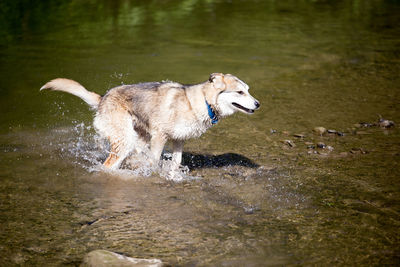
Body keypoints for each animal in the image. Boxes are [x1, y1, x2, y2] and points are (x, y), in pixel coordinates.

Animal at [39, 72, 260, 171]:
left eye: (248, 90)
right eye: (240, 92)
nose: (258, 104)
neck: (202, 103)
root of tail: (102, 98)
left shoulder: (178, 139)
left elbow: (176, 162)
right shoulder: (160, 136)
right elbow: (154, 160)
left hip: (138, 136)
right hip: (124, 140)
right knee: (109, 165)